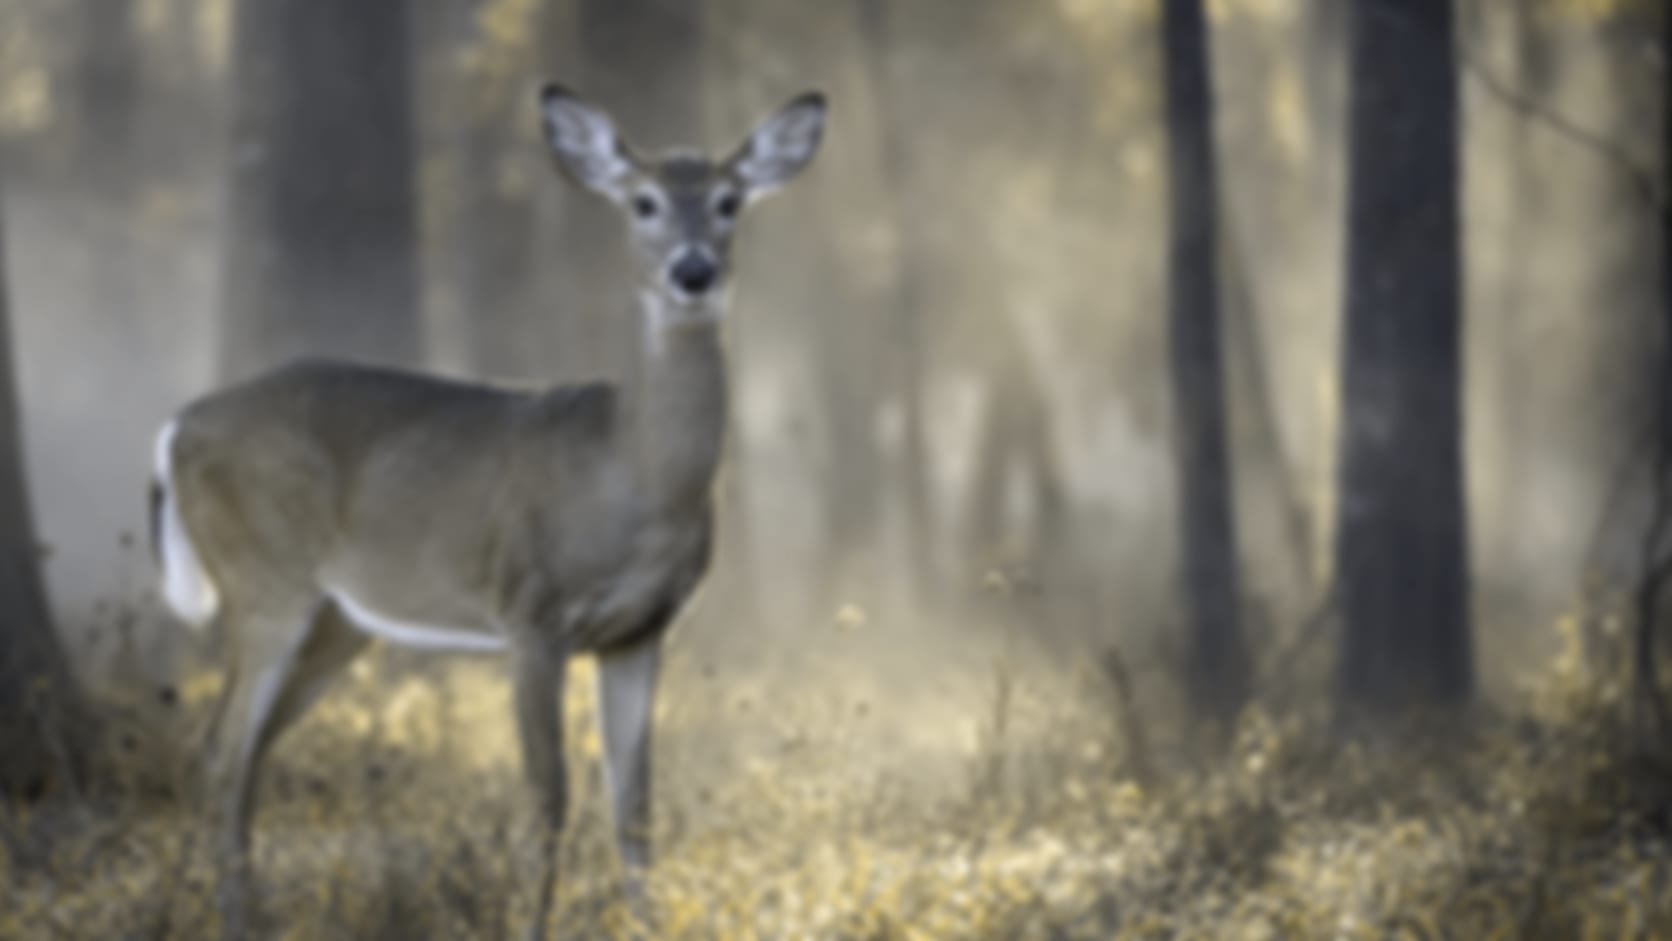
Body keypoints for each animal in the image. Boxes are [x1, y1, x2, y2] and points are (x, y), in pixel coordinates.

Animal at [149, 83, 827, 938]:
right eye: (642, 202)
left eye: (729, 200)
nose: (694, 270)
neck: (629, 470)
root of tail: (178, 426)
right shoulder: (531, 609)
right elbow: (550, 795)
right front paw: (533, 923)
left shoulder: (642, 629)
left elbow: (634, 804)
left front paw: (647, 922)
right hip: (264, 577)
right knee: (220, 748)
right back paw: (235, 917)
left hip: (338, 620)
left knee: (249, 751)